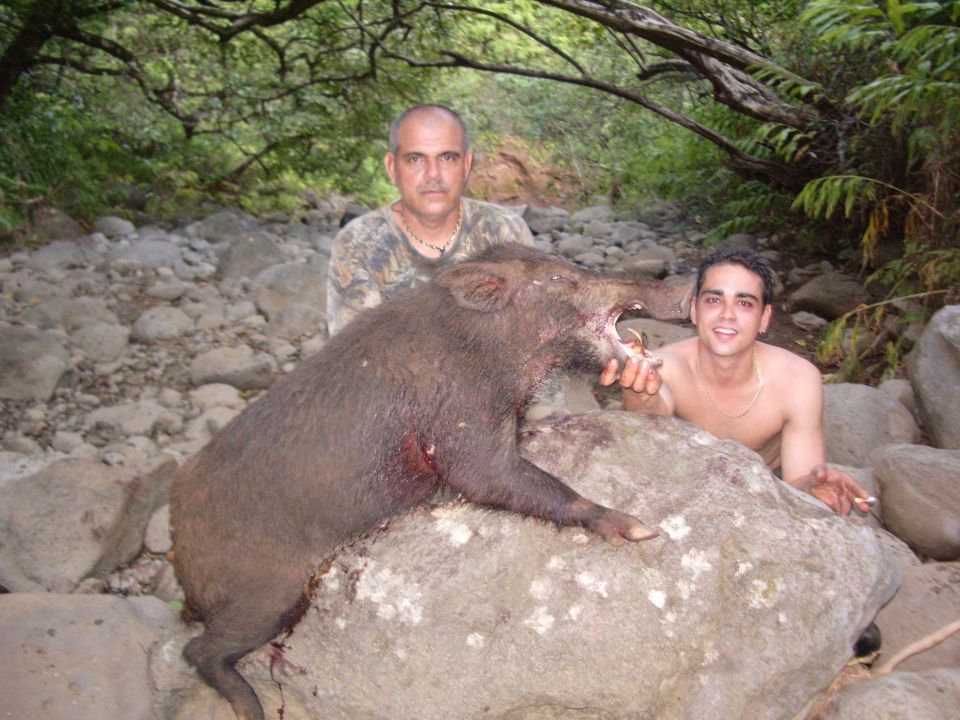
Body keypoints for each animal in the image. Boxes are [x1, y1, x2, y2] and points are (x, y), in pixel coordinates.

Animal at [170, 243, 691, 720]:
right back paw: (248, 708)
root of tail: (180, 556)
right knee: (197, 651)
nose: (686, 286)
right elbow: (513, 482)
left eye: (567, 264)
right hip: (266, 595)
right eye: (562, 279)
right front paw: (640, 529)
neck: (496, 351)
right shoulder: (465, 431)